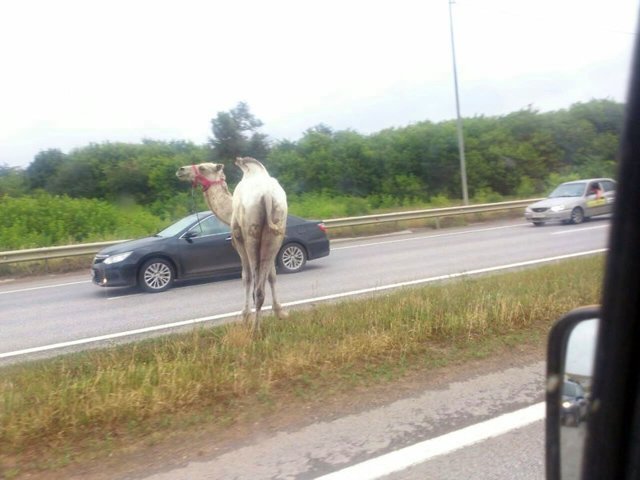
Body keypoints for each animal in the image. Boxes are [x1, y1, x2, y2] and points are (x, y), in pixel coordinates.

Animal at [179, 156, 292, 336]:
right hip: (276, 231)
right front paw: (280, 312)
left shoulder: (238, 239)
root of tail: (267, 196)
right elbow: (272, 276)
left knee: (257, 287)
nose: (181, 170)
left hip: (251, 234)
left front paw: (244, 316)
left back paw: (254, 329)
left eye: (203, 167)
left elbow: (246, 277)